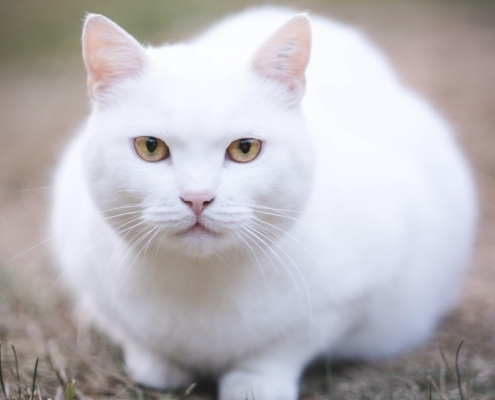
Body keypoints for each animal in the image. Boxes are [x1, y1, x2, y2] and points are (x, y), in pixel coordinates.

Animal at [50, 7, 476, 400]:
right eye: (150, 147)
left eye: (245, 148)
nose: (197, 197)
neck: (200, 283)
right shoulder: (86, 268)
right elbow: (133, 334)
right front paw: (156, 365)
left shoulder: (349, 297)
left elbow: (284, 346)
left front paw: (254, 383)